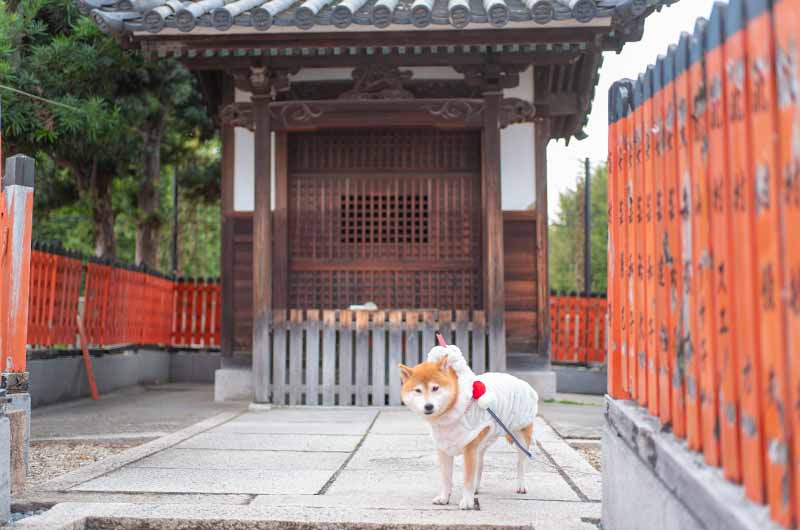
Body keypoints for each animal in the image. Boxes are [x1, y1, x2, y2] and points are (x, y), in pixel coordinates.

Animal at [398, 342, 536, 508]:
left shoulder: (469, 447)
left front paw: (467, 502)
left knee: (520, 464)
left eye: (435, 388)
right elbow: (446, 478)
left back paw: (521, 485)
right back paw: (477, 488)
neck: (450, 414)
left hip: (520, 437)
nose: (428, 406)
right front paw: (444, 498)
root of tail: (521, 381)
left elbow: (467, 479)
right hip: (484, 441)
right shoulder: (444, 446)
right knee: (480, 464)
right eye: (418, 390)